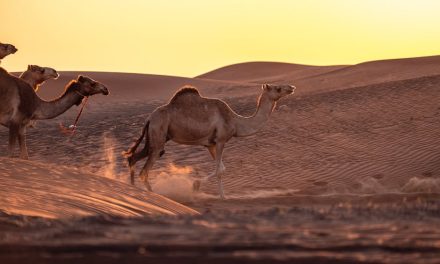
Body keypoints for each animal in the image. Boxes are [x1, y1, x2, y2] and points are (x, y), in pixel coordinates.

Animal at [124, 83, 296, 199]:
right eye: (278, 88)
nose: (292, 87)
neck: (236, 122)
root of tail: (149, 118)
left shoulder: (210, 144)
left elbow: (222, 168)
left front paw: (212, 191)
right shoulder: (221, 140)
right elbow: (219, 171)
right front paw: (203, 188)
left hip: (155, 138)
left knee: (133, 157)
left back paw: (133, 190)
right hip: (158, 135)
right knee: (144, 170)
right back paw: (154, 196)